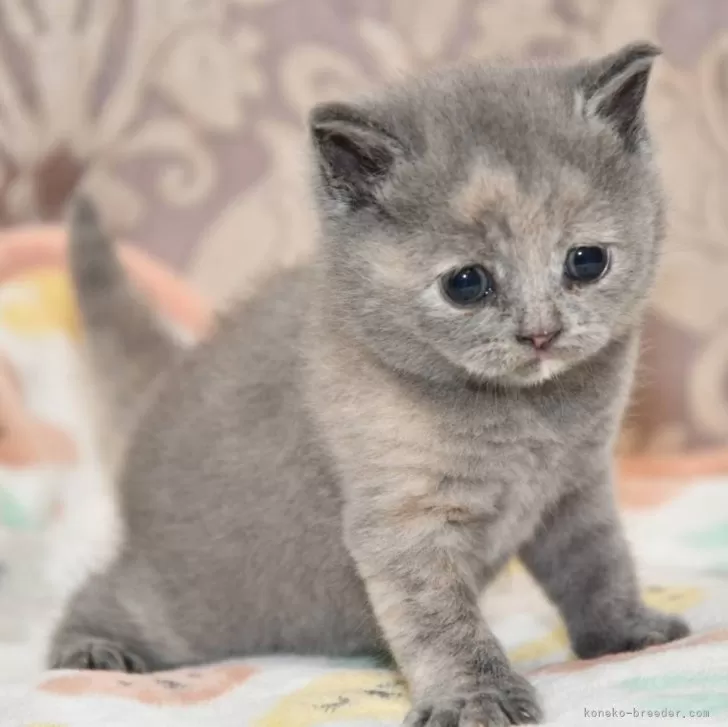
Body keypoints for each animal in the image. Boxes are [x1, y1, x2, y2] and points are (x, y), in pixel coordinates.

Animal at [51, 45, 688, 727]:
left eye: (586, 261)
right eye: (467, 284)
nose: (540, 333)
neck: (526, 416)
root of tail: (163, 390)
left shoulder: (576, 490)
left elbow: (599, 563)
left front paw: (627, 630)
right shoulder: (403, 518)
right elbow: (444, 623)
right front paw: (477, 698)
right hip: (192, 605)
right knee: (104, 594)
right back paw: (91, 651)